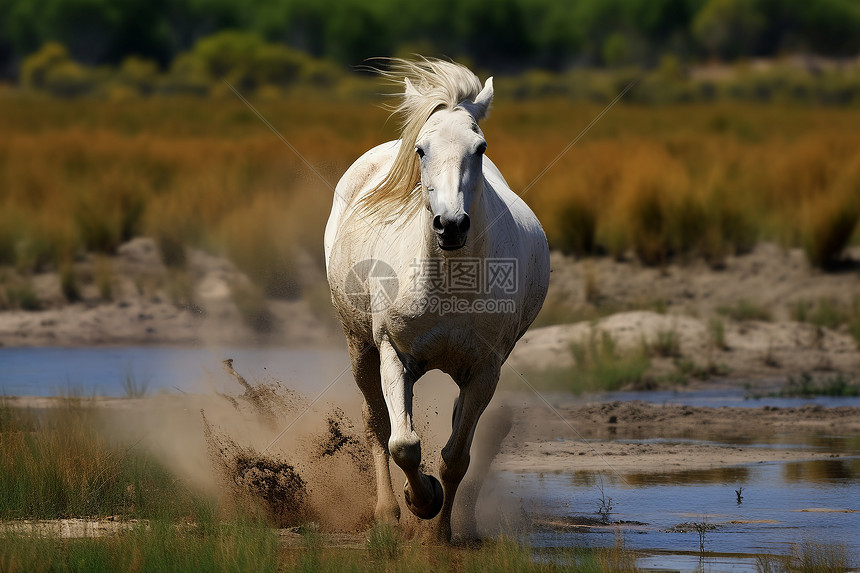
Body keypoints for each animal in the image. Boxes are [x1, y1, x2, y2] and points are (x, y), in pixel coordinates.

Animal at [322, 59, 552, 540]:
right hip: (359, 346)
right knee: (376, 426)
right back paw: (387, 513)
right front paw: (421, 499)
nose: (451, 224)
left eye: (480, 147)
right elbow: (403, 443)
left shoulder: (484, 370)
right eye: (421, 150)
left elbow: (455, 458)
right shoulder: (394, 353)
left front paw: (439, 531)